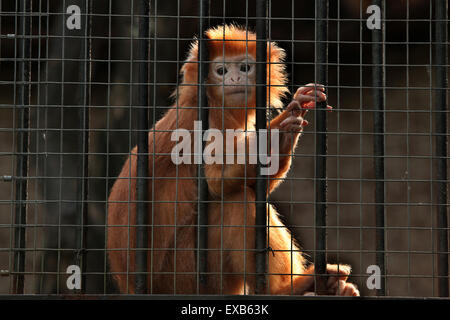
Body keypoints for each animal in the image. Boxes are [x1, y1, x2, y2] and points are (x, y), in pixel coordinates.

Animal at [107, 23, 360, 296]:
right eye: (221, 71)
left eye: (245, 68)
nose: (235, 79)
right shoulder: (208, 123)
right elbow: (217, 182)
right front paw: (275, 133)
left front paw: (287, 128)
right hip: (186, 274)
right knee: (237, 199)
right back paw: (288, 289)